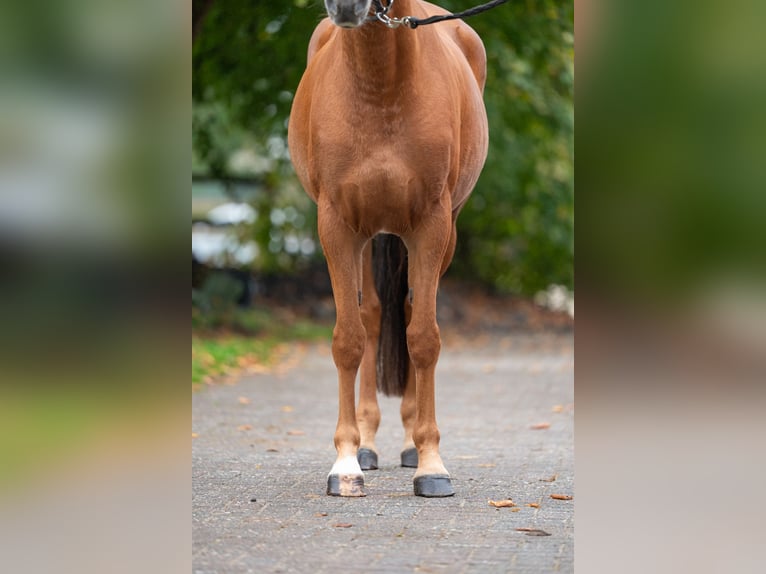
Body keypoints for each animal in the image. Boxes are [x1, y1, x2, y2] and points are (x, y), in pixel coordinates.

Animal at [287, 0, 489, 497]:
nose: (346, 6)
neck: (381, 88)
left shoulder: (432, 227)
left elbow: (423, 338)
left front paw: (431, 464)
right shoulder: (337, 228)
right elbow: (348, 340)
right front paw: (345, 464)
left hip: (442, 236)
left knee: (412, 310)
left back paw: (411, 443)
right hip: (365, 239)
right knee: (372, 316)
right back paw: (367, 444)